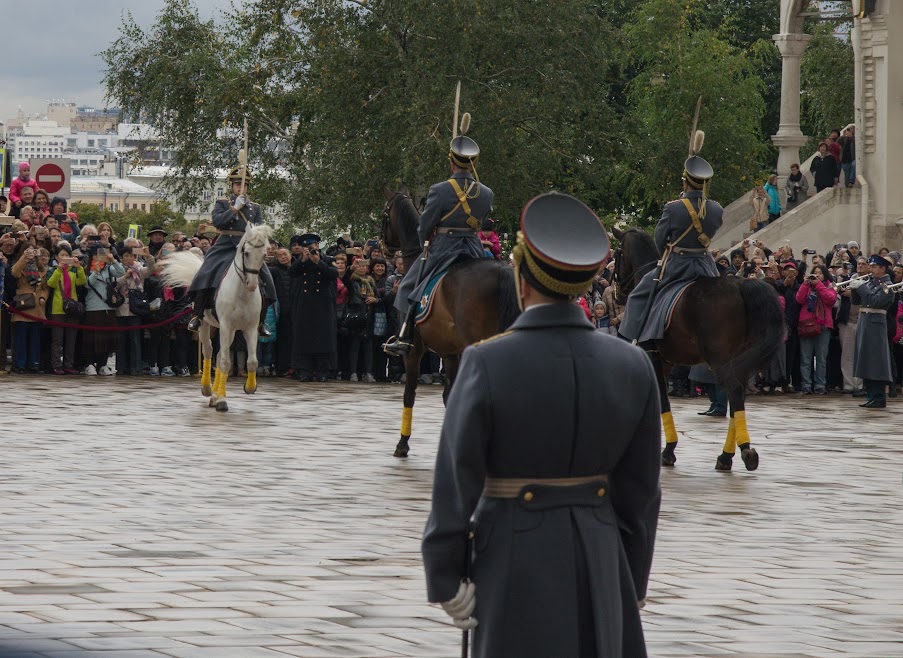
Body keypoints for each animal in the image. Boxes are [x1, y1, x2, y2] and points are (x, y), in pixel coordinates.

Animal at [163, 223, 274, 408]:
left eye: (265, 254)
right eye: (246, 253)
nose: (252, 285)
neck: (242, 293)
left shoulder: (250, 328)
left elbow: (251, 361)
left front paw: (249, 387)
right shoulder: (226, 325)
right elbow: (225, 361)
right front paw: (222, 400)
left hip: (229, 331)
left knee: (221, 353)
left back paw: (214, 394)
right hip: (206, 325)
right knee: (209, 350)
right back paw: (207, 389)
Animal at [384, 187, 524, 456]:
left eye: (385, 214)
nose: (385, 247)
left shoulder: (414, 352)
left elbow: (409, 394)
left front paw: (402, 444)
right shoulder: (450, 353)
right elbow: (449, 396)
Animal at [612, 228, 788, 468]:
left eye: (617, 253)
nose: (618, 294)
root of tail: (741, 284)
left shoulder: (652, 357)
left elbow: (662, 400)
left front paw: (667, 450)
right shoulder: (666, 362)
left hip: (719, 359)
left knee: (734, 391)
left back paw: (743, 451)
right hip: (740, 359)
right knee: (737, 398)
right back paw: (726, 455)